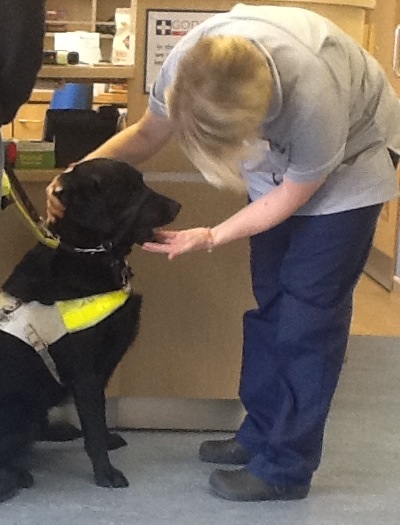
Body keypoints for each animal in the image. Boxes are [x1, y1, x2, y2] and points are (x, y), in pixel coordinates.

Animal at [0, 158, 180, 502]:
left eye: (143, 182)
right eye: (130, 189)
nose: (178, 204)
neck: (86, 254)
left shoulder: (103, 366)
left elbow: (100, 413)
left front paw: (108, 441)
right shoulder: (85, 371)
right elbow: (94, 423)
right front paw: (106, 472)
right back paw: (15, 476)